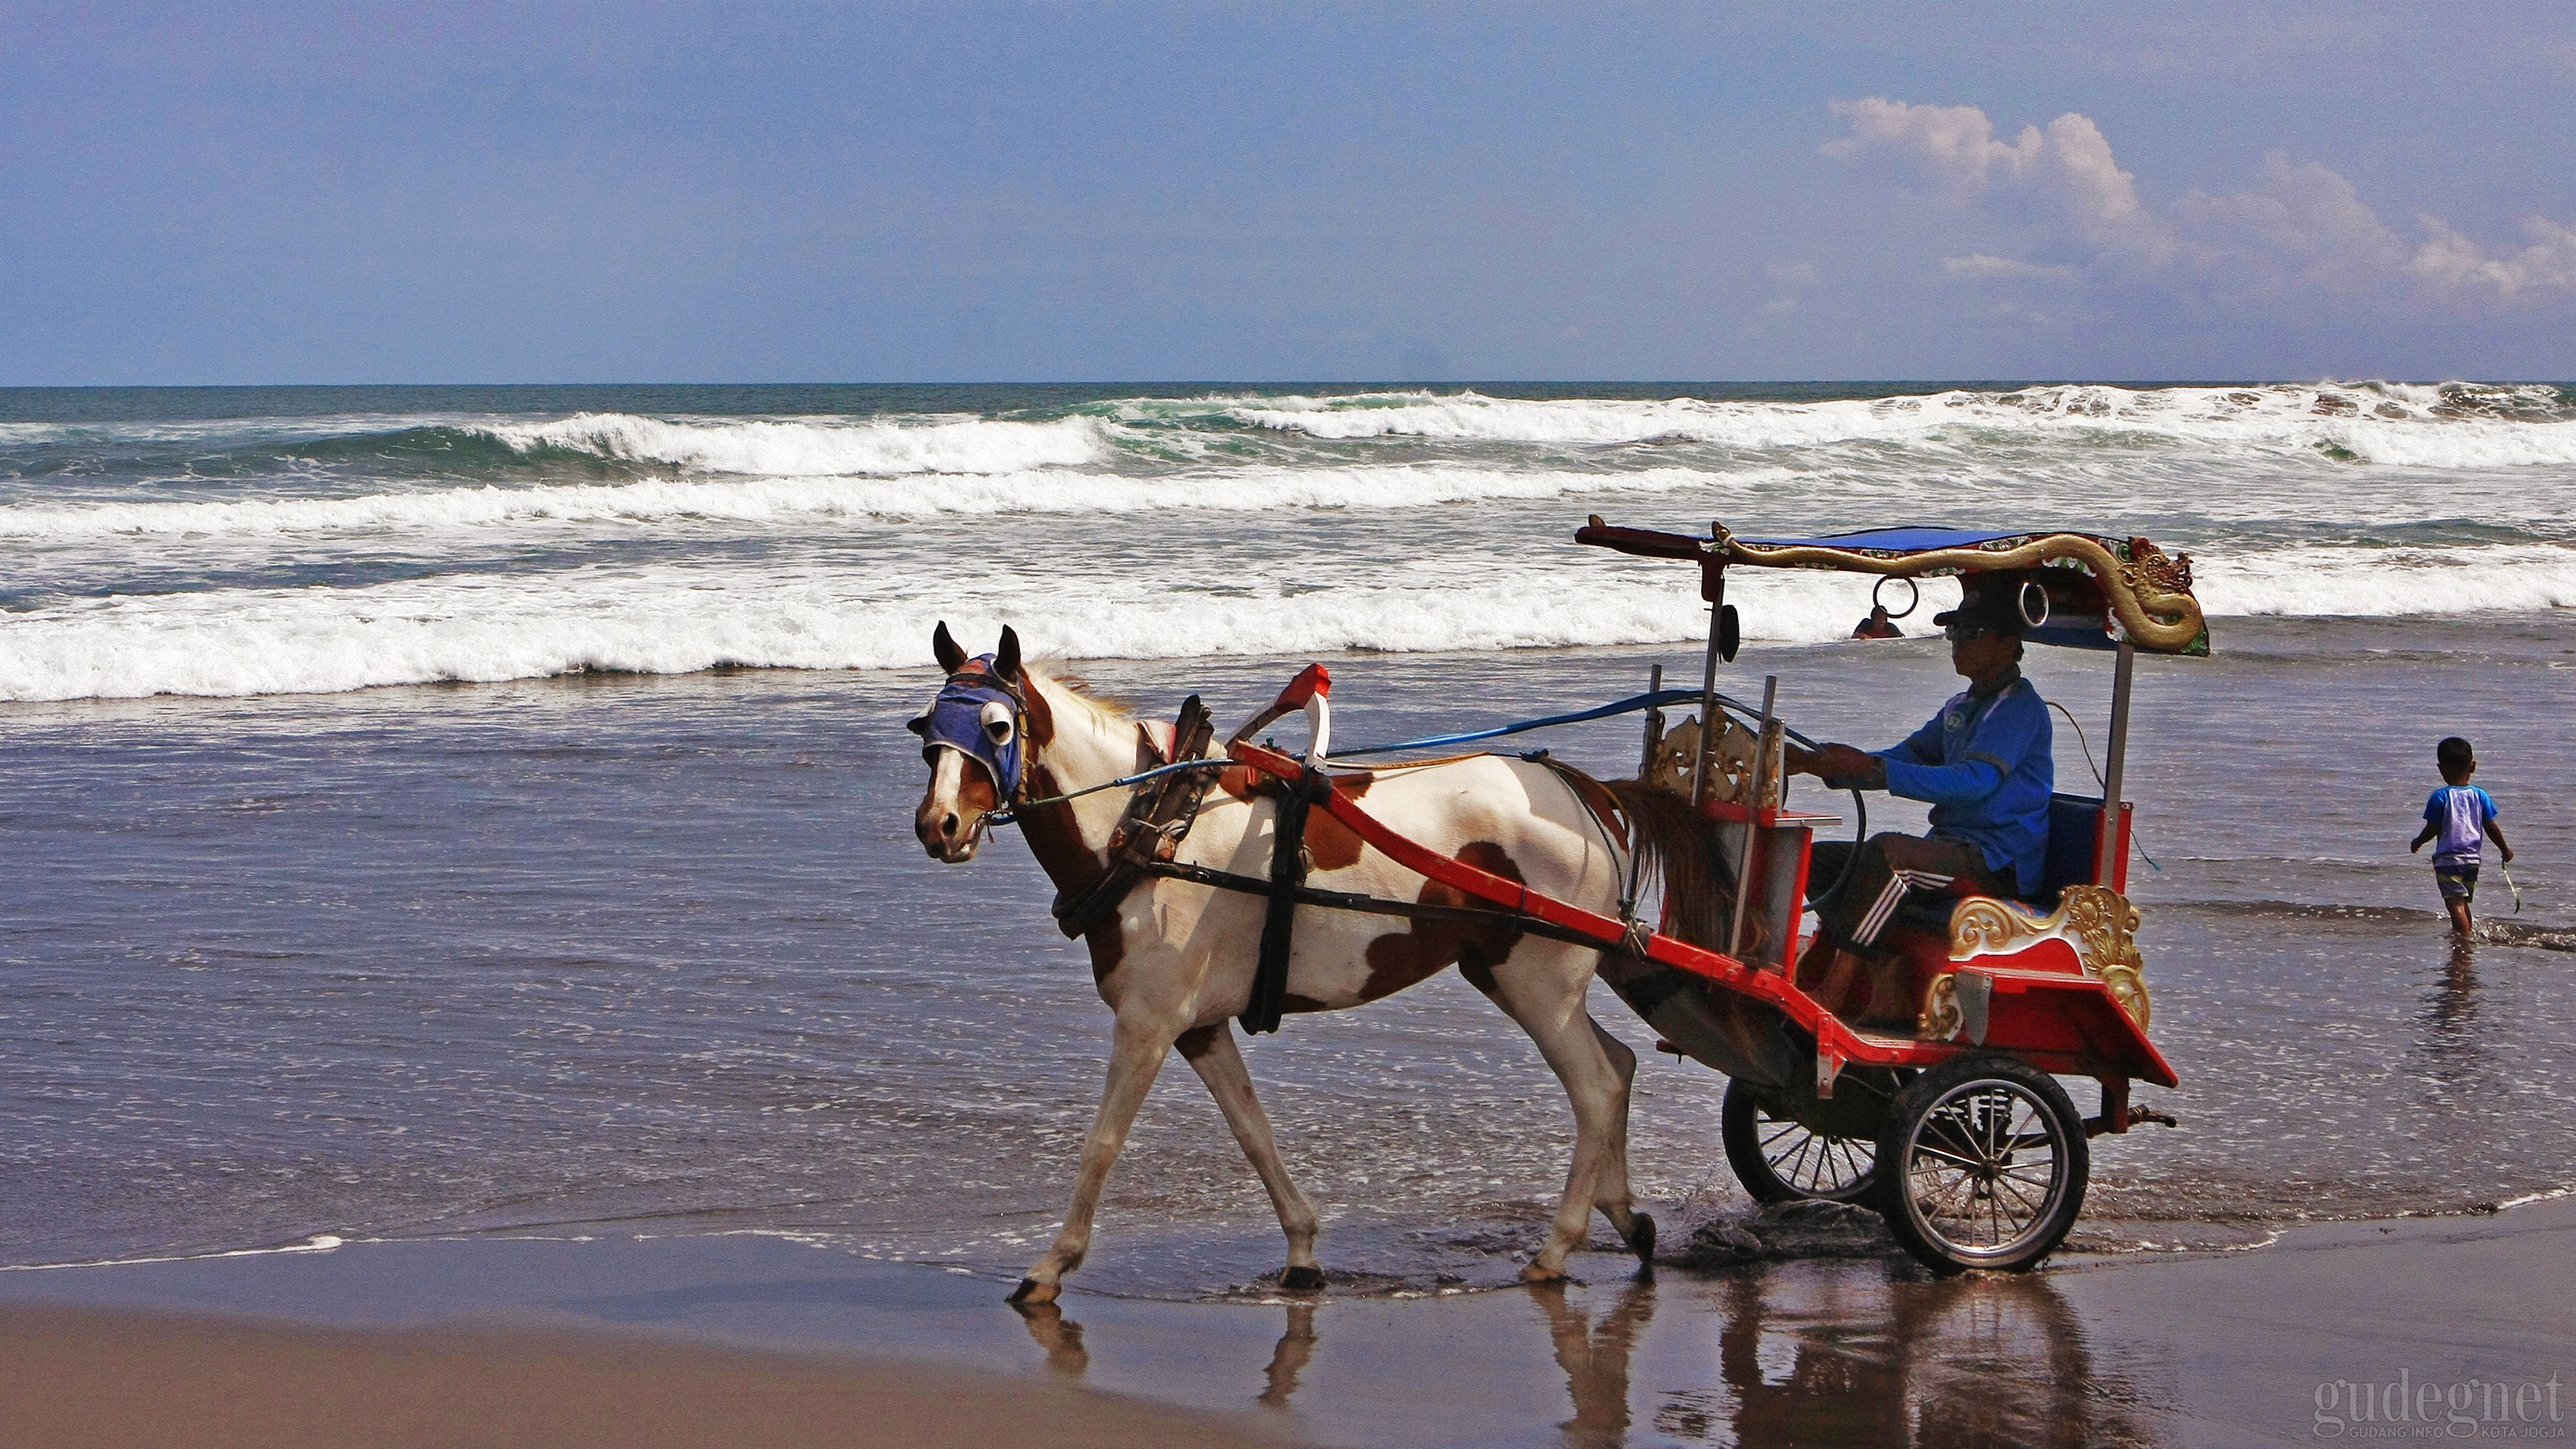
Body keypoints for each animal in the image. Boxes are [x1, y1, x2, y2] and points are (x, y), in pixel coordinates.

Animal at [907, 622, 1710, 1302]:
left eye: (996, 727)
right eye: (927, 732)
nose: (938, 826)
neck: (1153, 822)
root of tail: (1586, 795)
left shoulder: (1148, 1022)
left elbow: (1101, 1145)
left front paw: (1051, 1264)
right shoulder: (1197, 1028)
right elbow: (1254, 1133)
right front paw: (1302, 1248)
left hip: (1540, 982)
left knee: (1596, 1088)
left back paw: (1557, 1247)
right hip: (1509, 975)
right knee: (1620, 1068)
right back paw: (1625, 1214)